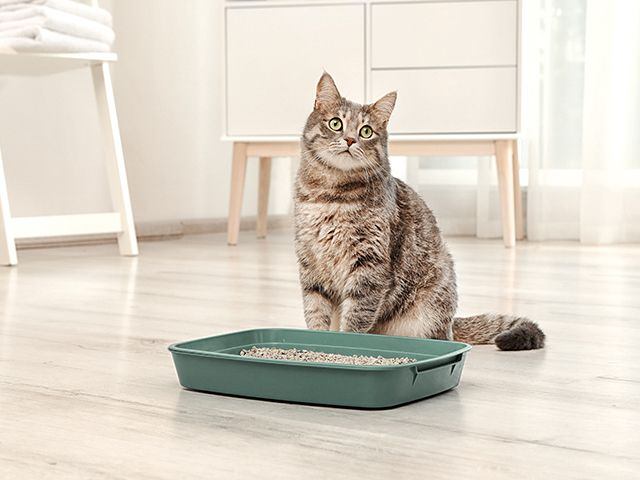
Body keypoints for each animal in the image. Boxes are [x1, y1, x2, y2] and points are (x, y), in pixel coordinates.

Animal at [296, 72, 544, 348]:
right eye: (336, 124)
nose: (350, 139)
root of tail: (451, 323)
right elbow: (315, 313)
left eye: (366, 131)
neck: (331, 196)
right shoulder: (311, 266)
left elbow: (356, 318)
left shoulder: (370, 267)